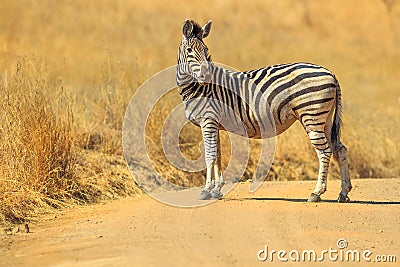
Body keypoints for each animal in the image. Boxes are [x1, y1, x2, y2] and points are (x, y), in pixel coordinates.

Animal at [177, 19, 352, 203]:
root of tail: (331, 73)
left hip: (312, 115)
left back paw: (316, 193)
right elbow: (217, 156)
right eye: (189, 50)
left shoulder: (208, 120)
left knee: (325, 152)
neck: (199, 88)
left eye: (206, 51)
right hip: (325, 118)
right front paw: (216, 190)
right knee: (339, 149)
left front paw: (206, 190)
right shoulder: (215, 124)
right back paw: (343, 193)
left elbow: (209, 156)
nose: (207, 76)